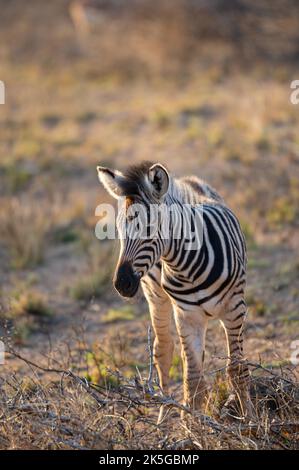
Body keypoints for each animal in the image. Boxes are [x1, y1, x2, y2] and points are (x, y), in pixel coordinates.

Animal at [97, 162, 254, 422]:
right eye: (118, 230)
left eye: (148, 229)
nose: (122, 284)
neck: (186, 266)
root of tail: (184, 181)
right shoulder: (187, 315)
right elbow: (193, 378)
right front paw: (192, 425)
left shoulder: (235, 309)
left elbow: (237, 369)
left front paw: (251, 419)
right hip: (155, 295)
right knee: (163, 349)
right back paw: (164, 412)